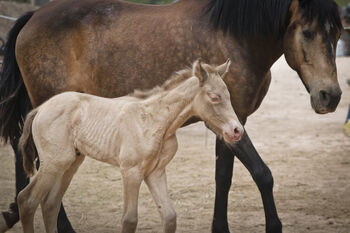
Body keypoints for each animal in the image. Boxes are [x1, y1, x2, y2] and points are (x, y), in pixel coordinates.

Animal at [17, 60, 243, 233]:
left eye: (229, 95)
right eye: (214, 97)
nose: (236, 130)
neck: (156, 120)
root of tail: (40, 109)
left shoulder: (155, 172)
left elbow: (169, 217)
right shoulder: (131, 171)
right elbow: (130, 220)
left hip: (71, 163)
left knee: (50, 203)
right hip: (54, 163)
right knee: (27, 200)